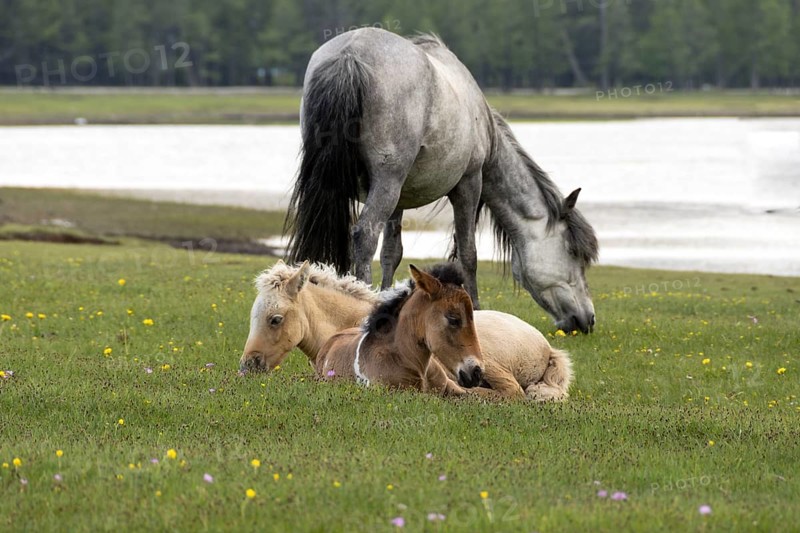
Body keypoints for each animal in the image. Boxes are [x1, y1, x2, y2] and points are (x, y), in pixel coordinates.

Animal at [284, 28, 598, 334]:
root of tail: (350, 54)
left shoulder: (399, 200)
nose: (588, 320)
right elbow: (468, 254)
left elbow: (391, 253)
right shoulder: (469, 184)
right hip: (387, 183)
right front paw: (477, 310)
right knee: (364, 237)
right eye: (574, 253)